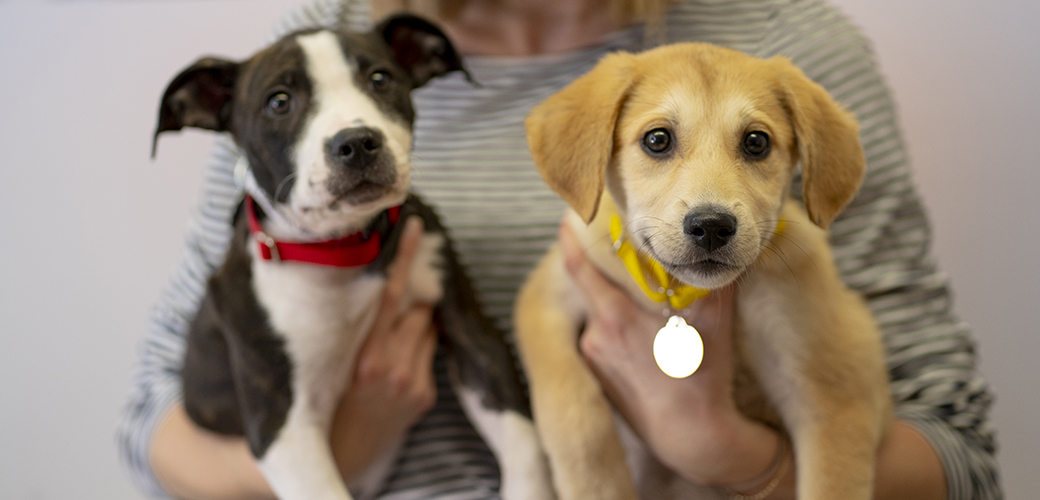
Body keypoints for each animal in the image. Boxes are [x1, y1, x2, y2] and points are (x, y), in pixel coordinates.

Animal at [153, 15, 549, 498]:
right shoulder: (282, 426)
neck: (344, 251)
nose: (357, 142)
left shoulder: (474, 336)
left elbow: (524, 446)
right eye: (279, 102)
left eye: (380, 79)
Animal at [515, 43, 890, 498]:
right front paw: (599, 485)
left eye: (756, 142)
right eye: (657, 139)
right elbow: (573, 412)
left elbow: (831, 481)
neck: (675, 290)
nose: (711, 226)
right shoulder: (548, 297)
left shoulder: (835, 380)